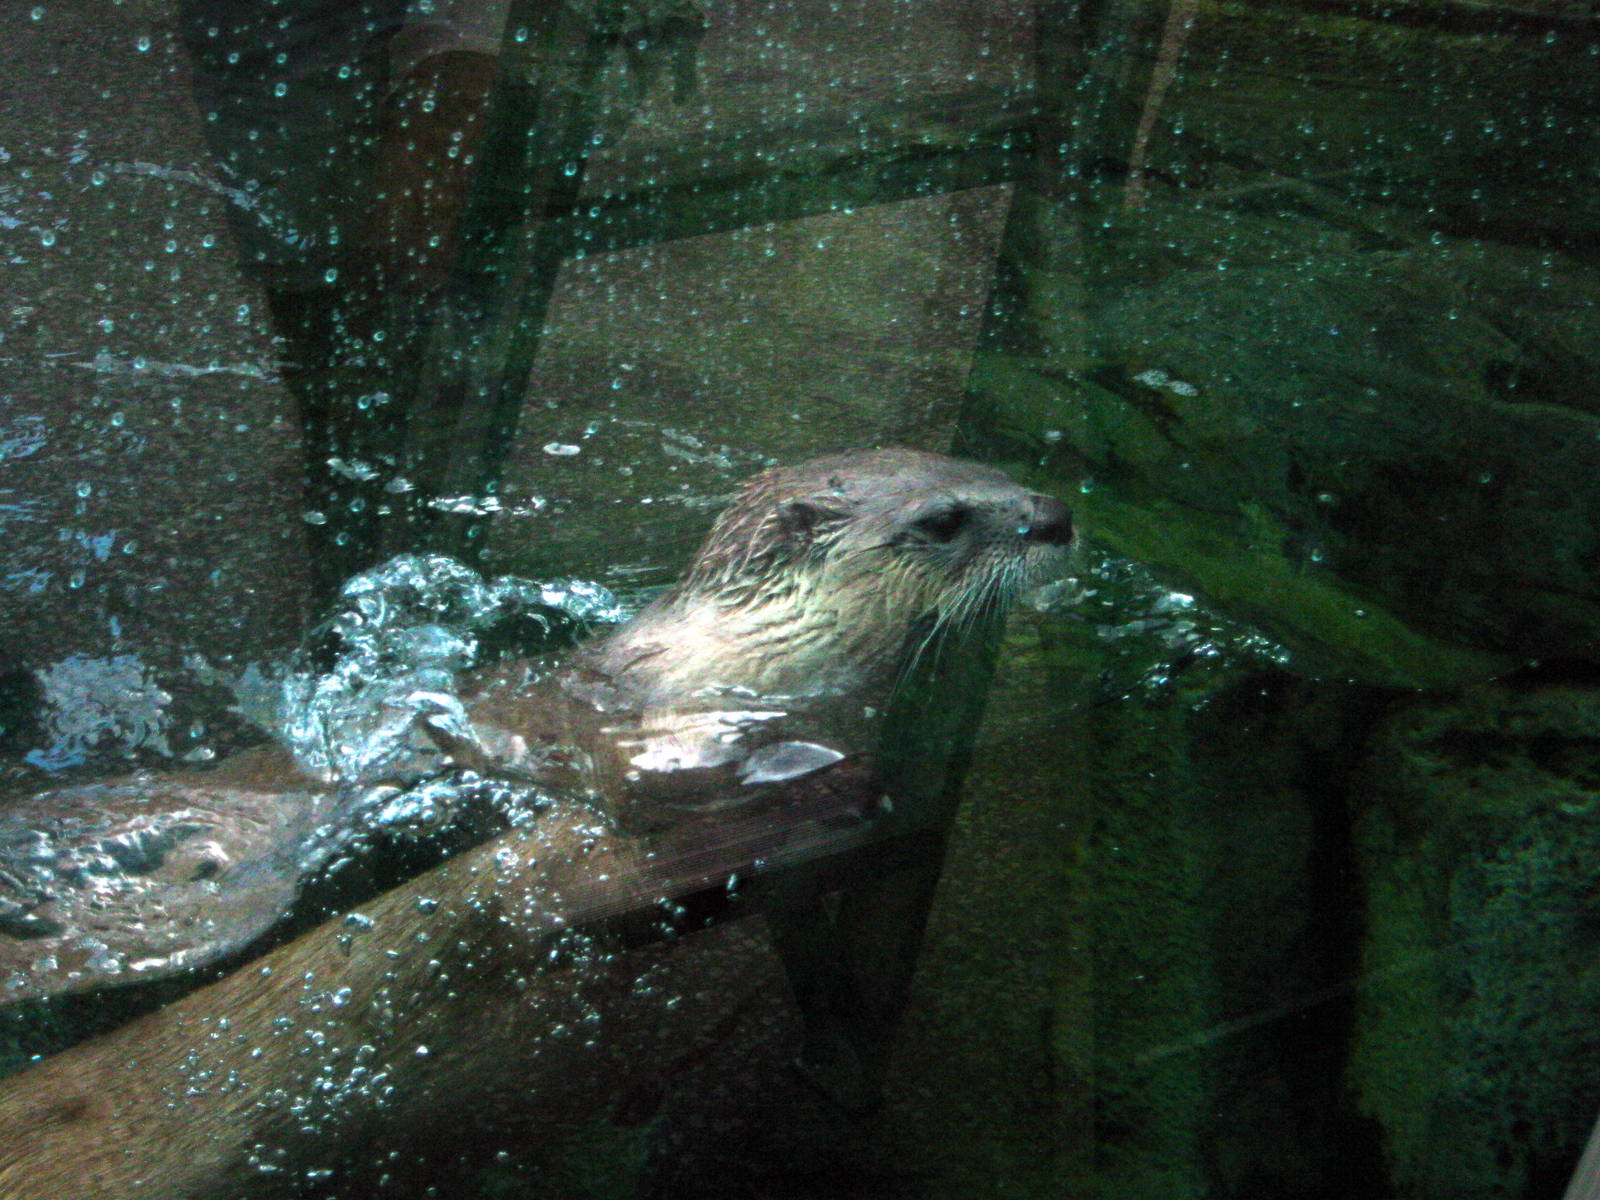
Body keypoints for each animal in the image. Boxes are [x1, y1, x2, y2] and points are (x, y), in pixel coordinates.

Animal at [0, 449, 1071, 1199]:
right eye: (944, 519)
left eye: (994, 470)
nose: (1054, 517)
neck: (753, 657)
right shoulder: (651, 746)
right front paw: (820, 789)